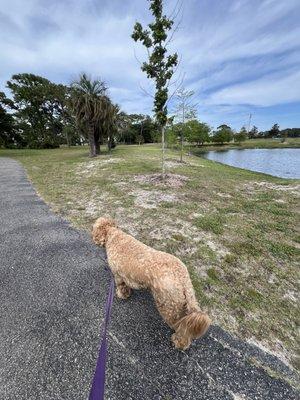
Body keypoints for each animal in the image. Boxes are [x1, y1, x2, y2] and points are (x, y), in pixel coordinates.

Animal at [92, 216, 211, 350]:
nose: (92, 237)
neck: (114, 235)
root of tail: (183, 279)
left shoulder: (118, 275)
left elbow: (121, 286)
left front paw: (122, 294)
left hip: (167, 306)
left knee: (181, 329)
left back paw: (179, 342)